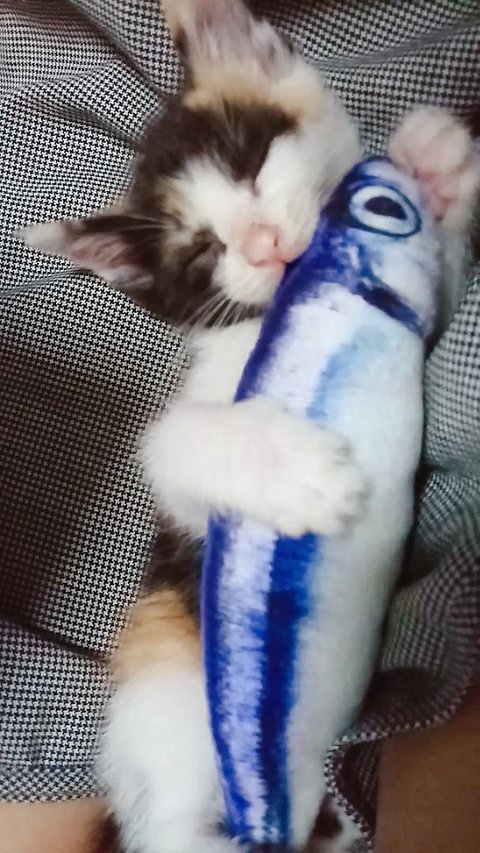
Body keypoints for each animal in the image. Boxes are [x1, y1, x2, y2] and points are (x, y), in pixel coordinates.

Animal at [21, 2, 480, 851]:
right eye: (201, 251)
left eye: (252, 162)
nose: (262, 245)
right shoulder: (184, 493)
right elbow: (174, 441)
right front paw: (297, 470)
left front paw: (434, 169)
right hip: (170, 703)